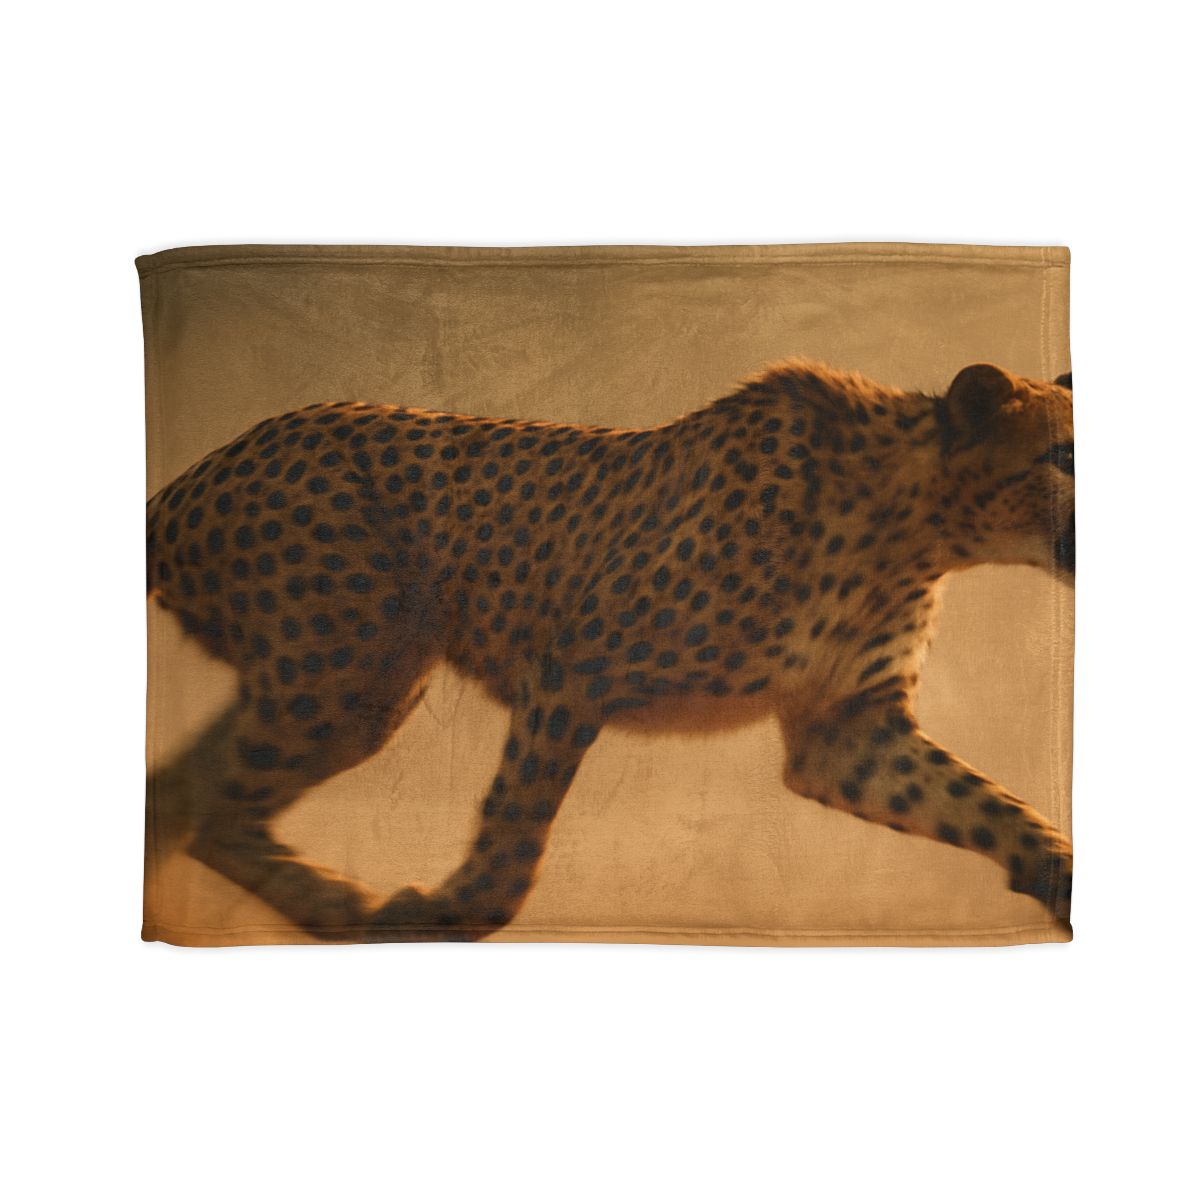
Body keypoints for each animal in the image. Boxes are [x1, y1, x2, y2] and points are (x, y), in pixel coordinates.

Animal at [146, 359, 1075, 941]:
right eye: (1064, 455)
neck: (916, 527)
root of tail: (209, 462)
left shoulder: (846, 731)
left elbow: (989, 804)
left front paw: (1061, 874)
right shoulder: (570, 672)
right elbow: (516, 825)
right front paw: (449, 913)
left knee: (175, 797)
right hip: (348, 676)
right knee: (218, 815)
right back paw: (342, 906)